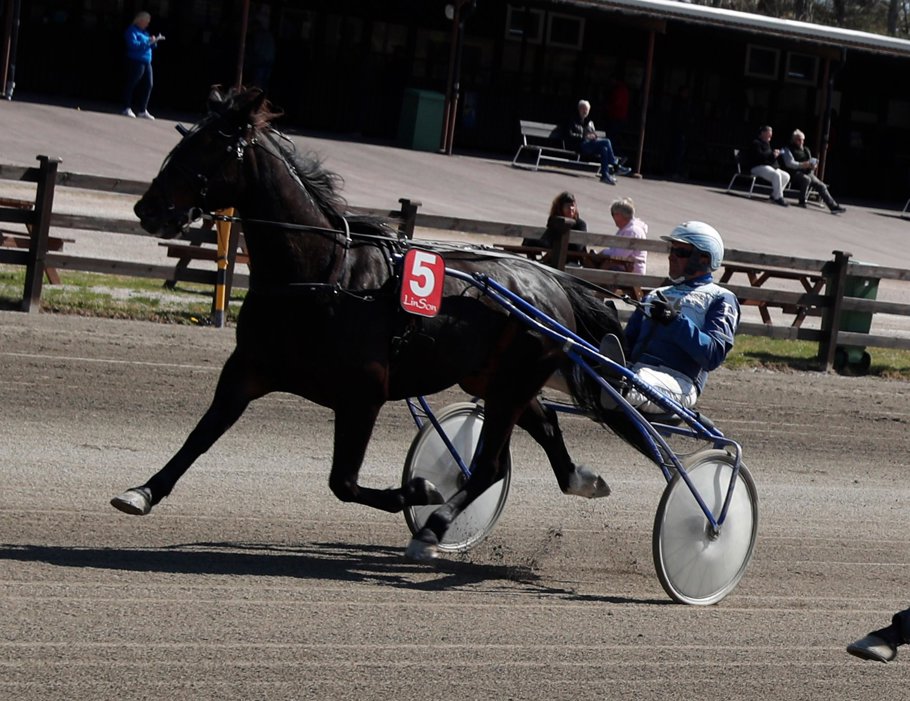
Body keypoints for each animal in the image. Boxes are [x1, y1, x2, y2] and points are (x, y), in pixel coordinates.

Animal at [111, 86, 626, 560]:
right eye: (183, 140)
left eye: (208, 147)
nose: (146, 209)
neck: (322, 274)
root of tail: (552, 281)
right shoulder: (247, 369)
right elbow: (200, 436)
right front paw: (143, 491)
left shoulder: (363, 394)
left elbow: (344, 483)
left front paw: (420, 491)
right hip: (496, 380)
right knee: (537, 432)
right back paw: (580, 479)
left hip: (513, 383)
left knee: (487, 467)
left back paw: (433, 526)